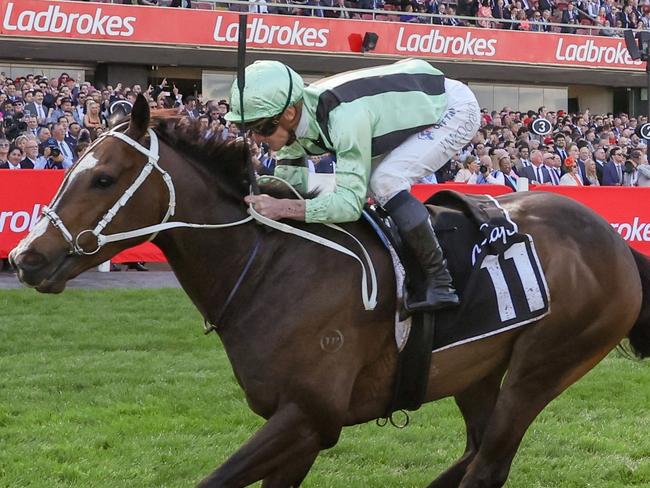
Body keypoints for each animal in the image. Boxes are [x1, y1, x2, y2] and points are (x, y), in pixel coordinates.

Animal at [8, 93, 648, 486]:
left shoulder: (310, 416)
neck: (267, 268)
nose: (26, 257)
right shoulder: (297, 428)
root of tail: (616, 246)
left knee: (489, 462)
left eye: (103, 177)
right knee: (476, 455)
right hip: (479, 372)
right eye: (69, 167)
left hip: (544, 365)